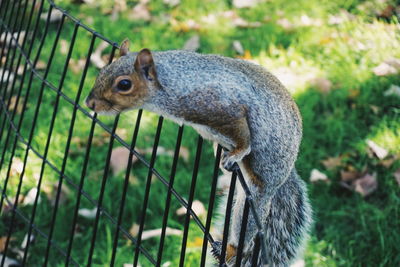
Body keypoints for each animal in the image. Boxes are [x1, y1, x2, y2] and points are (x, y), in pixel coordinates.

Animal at [85, 40, 312, 267]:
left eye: (124, 85)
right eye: (102, 70)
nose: (90, 103)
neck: (171, 82)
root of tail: (285, 173)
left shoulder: (219, 105)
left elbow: (243, 136)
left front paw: (238, 151)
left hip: (261, 185)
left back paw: (231, 250)